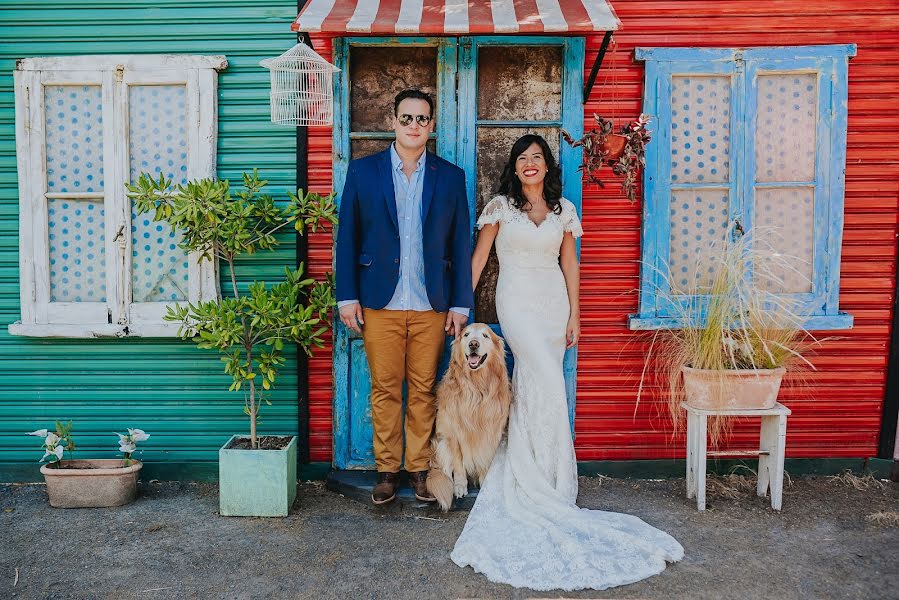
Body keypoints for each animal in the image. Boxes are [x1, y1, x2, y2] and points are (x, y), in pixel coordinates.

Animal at [426, 324, 510, 510]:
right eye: (466, 334)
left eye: (485, 335)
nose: (473, 344)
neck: (476, 386)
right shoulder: (453, 434)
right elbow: (458, 464)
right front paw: (459, 485)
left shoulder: (491, 432)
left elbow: (485, 458)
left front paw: (485, 482)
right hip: (440, 442)